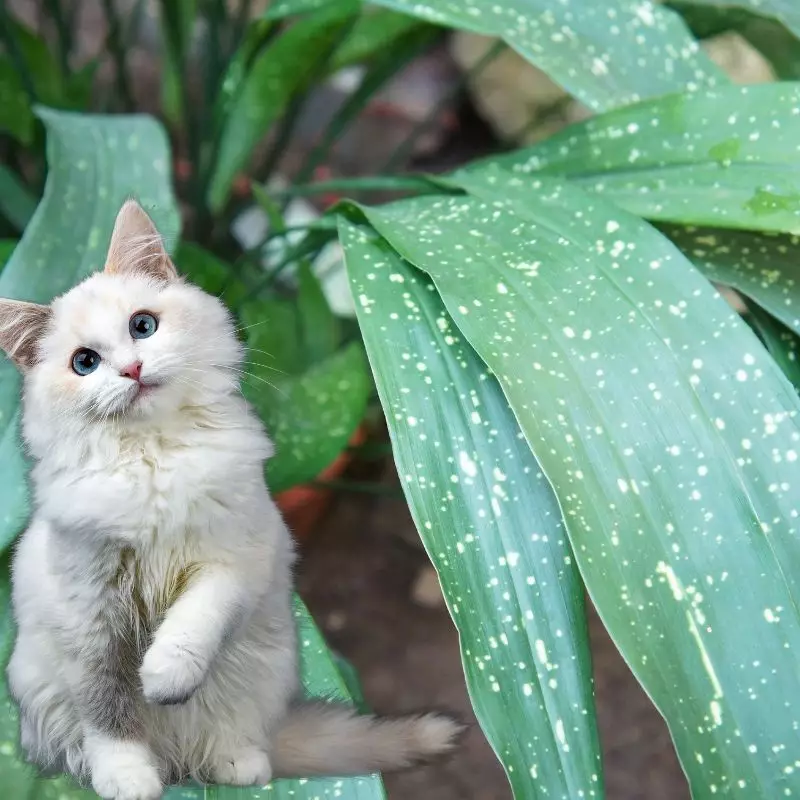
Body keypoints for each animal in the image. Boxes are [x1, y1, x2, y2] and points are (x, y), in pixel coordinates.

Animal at [0, 202, 462, 800]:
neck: (155, 457)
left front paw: (162, 678)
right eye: (85, 363)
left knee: (235, 741)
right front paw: (128, 777)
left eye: (142, 326)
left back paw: (236, 762)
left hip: (261, 670)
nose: (131, 370)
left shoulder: (233, 561)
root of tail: (178, 760)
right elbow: (110, 714)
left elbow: (192, 625)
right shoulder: (90, 617)